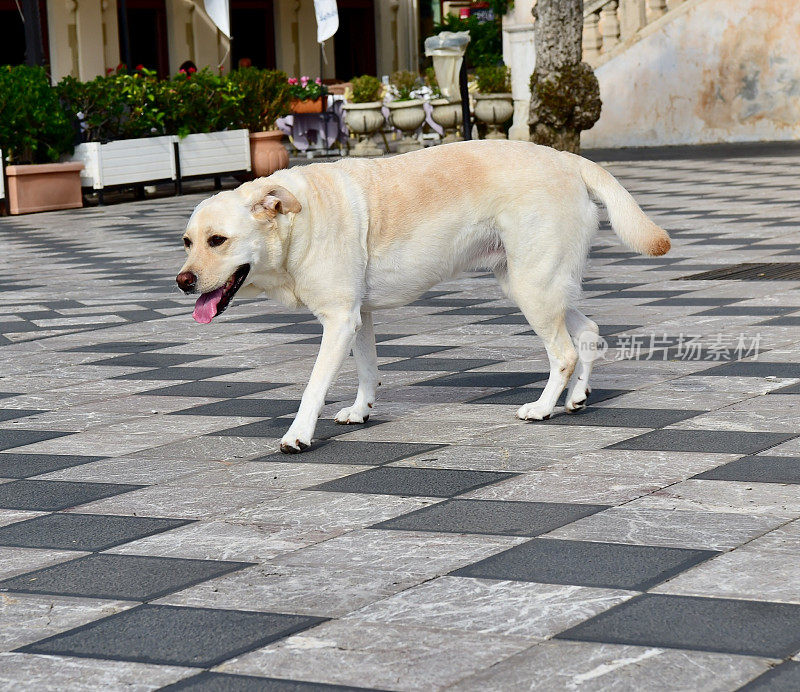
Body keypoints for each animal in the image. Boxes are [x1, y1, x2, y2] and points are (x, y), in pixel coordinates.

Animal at [175, 141, 668, 454]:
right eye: (187, 242)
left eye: (218, 241)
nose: (182, 281)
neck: (299, 220)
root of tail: (567, 159)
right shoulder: (359, 317)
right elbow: (369, 370)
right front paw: (361, 411)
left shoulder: (338, 319)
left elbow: (314, 387)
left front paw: (298, 435)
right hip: (534, 284)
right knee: (589, 333)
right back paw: (576, 398)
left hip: (534, 287)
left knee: (563, 351)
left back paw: (543, 408)